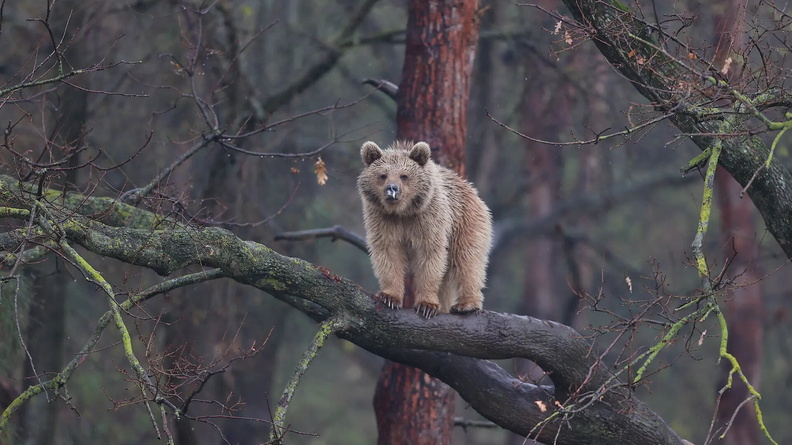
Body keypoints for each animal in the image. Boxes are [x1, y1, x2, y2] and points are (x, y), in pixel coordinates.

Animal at [356, 140, 492, 318]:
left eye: (404, 176)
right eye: (383, 175)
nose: (392, 189)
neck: (403, 212)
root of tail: (471, 189)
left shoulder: (428, 219)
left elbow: (430, 256)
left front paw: (426, 305)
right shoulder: (384, 220)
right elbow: (388, 254)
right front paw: (389, 297)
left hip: (465, 223)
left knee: (467, 261)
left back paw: (466, 304)